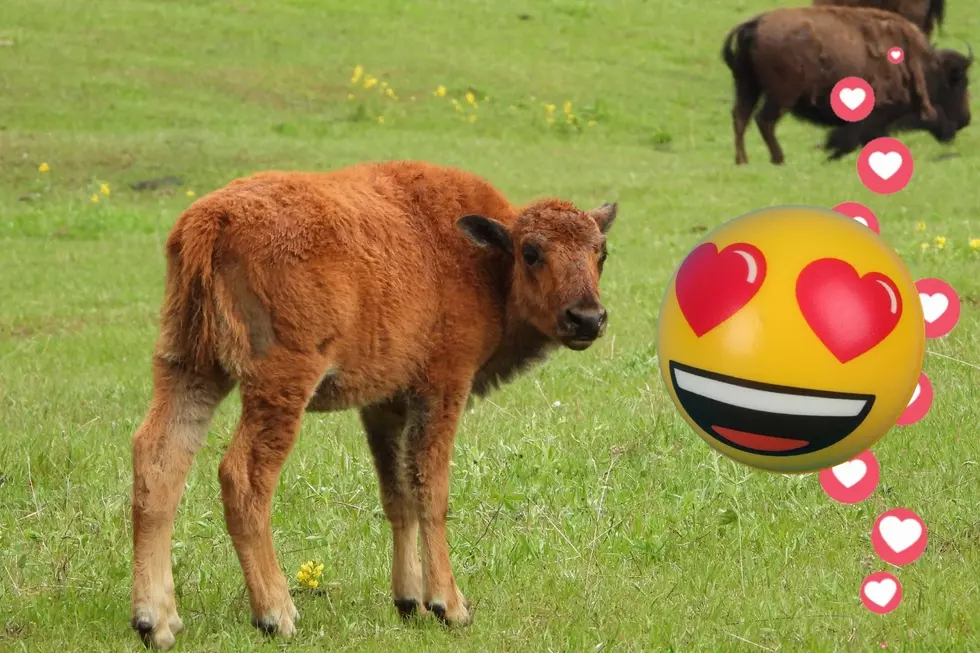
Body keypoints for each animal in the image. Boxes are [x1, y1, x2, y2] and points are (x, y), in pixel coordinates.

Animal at [722, 6, 972, 164]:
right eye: (958, 81)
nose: (965, 120)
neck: (925, 66)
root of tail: (754, 24)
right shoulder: (872, 117)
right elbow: (849, 140)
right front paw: (828, 154)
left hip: (747, 86)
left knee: (740, 117)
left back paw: (742, 160)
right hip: (780, 96)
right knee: (763, 120)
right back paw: (778, 159)